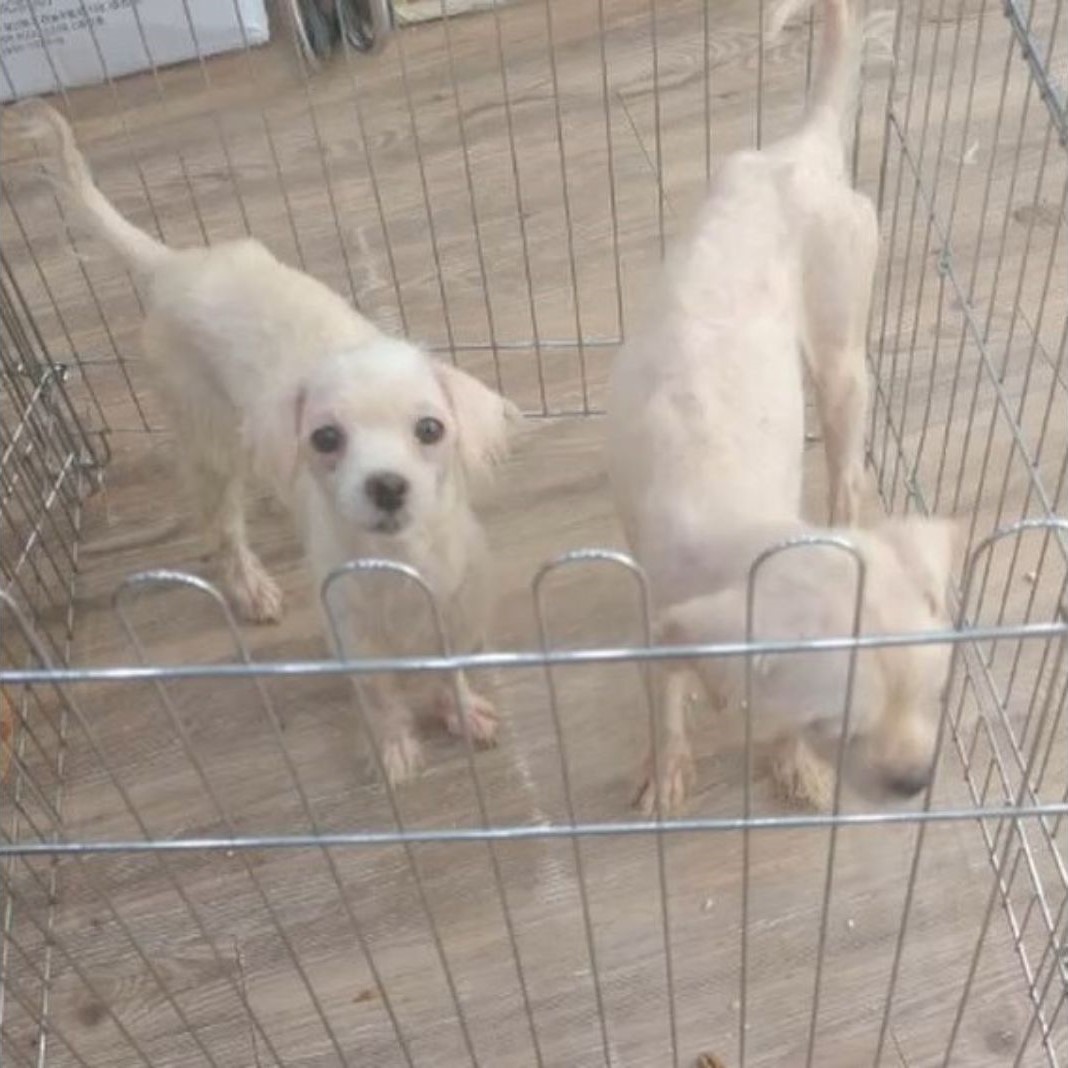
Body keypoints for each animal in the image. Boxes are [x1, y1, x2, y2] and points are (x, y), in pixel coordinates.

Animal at [10, 101, 519, 786]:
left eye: (430, 430)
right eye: (326, 437)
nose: (386, 486)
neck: (400, 563)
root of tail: (172, 265)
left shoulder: (458, 613)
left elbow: (452, 672)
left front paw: (461, 712)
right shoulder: (350, 637)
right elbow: (380, 698)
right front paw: (394, 749)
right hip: (207, 444)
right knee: (222, 531)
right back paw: (249, 585)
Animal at [606, 0, 956, 811]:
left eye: (934, 695)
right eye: (841, 723)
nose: (913, 784)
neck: (728, 523)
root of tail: (807, 146)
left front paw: (792, 763)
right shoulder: (657, 607)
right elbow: (663, 691)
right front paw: (667, 764)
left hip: (842, 358)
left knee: (847, 470)